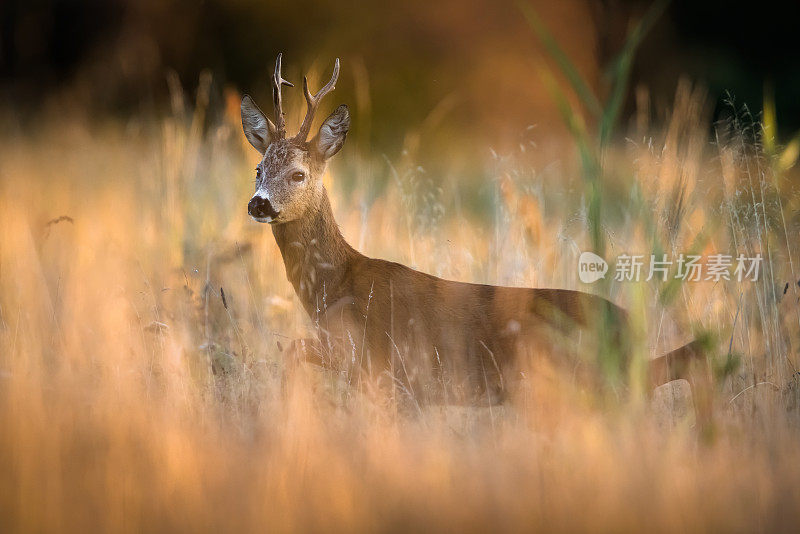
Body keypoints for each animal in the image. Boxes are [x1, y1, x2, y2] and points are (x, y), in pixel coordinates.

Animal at [241, 54, 708, 406]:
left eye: (299, 174)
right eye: (258, 169)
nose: (259, 203)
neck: (333, 286)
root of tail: (630, 327)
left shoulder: (367, 355)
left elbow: (294, 351)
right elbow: (291, 351)